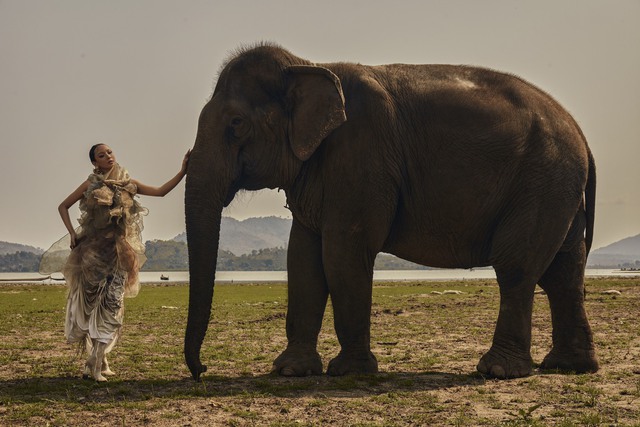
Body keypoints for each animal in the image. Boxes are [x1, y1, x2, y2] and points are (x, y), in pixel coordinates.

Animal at [182, 42, 596, 382]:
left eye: (236, 124)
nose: (202, 370)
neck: (309, 64)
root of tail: (581, 134)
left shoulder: (363, 154)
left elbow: (343, 253)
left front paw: (349, 372)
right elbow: (302, 258)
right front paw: (290, 370)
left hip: (541, 183)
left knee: (517, 268)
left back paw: (497, 371)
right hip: (557, 190)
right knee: (563, 272)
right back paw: (567, 366)